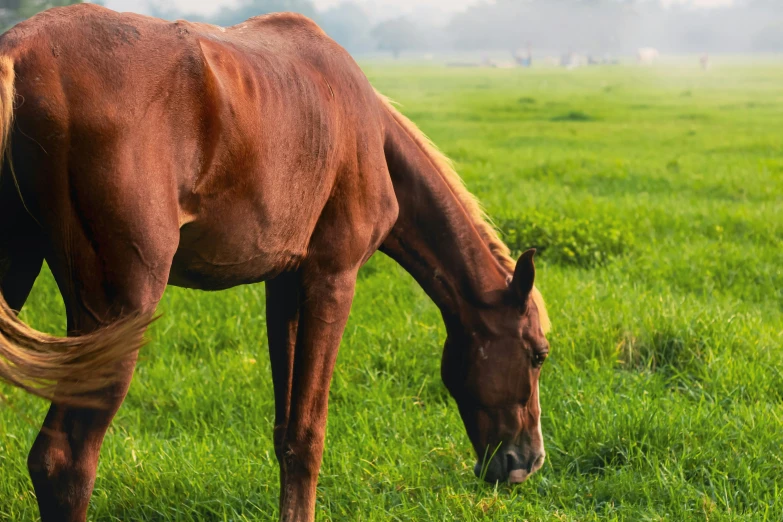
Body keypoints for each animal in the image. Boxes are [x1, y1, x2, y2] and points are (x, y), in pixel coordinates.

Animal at [0, 5, 552, 520]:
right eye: (538, 354)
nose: (528, 461)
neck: (367, 130)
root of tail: (20, 51)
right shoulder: (333, 279)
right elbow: (309, 434)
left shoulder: (284, 285)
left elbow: (285, 431)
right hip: (118, 312)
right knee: (63, 462)